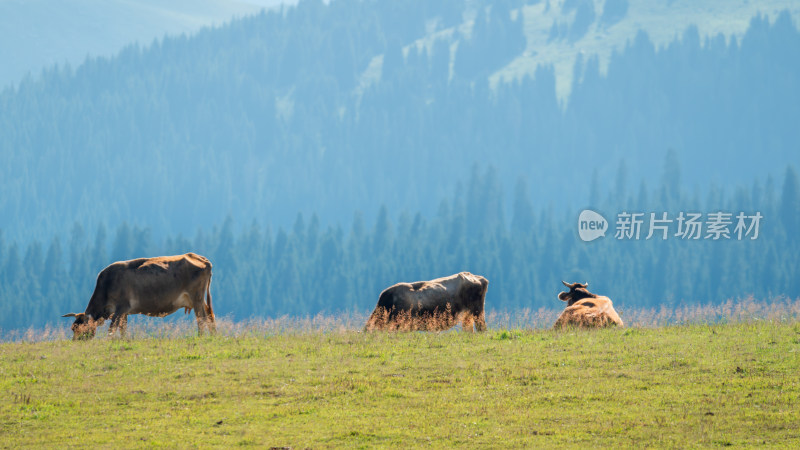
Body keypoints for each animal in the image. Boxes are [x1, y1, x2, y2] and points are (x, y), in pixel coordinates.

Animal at [62, 251, 214, 340]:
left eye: (79, 328)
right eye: (72, 328)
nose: (75, 343)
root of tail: (199, 257)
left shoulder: (120, 308)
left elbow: (112, 329)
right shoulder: (124, 313)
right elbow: (123, 329)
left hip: (196, 297)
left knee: (201, 318)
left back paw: (200, 337)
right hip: (198, 299)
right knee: (209, 315)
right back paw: (213, 335)